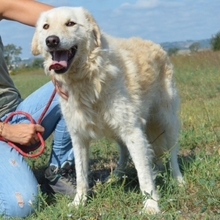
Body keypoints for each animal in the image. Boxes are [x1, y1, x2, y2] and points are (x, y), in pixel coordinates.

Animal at [31, 6, 184, 213]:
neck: (88, 79)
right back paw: (115, 177)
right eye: (45, 27)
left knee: (172, 154)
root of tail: (156, 45)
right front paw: (79, 202)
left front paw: (151, 205)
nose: (51, 40)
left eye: (70, 23)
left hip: (166, 120)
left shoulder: (132, 131)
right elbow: (81, 175)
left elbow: (143, 172)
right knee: (125, 152)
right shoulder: (78, 137)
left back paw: (179, 180)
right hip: (117, 130)